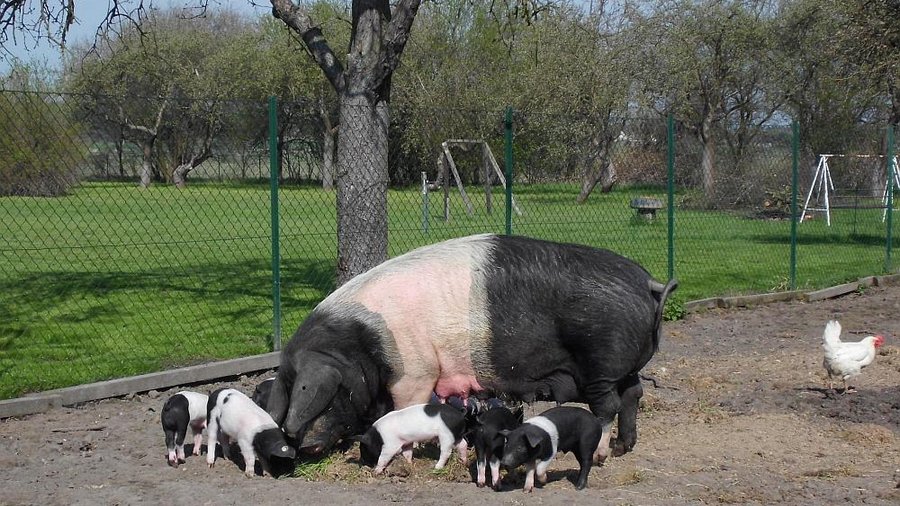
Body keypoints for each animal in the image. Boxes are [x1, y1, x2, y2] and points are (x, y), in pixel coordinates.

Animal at [268, 235, 676, 460]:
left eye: (330, 394)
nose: (305, 447)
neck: (364, 343)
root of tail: (649, 284)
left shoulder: (415, 371)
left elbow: (403, 410)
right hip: (625, 366)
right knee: (633, 394)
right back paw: (625, 447)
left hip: (600, 361)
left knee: (608, 405)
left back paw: (604, 454)